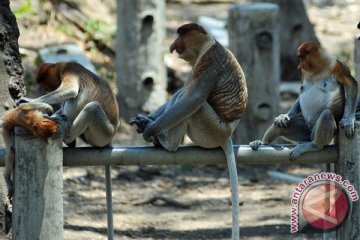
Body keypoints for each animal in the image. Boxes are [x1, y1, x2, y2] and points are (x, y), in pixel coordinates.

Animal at [130, 23, 248, 240]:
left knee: (194, 104)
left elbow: (193, 98)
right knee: (182, 93)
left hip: (211, 129)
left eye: (181, 35)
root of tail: (228, 134)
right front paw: (145, 120)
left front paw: (150, 128)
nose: (172, 46)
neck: (208, 43)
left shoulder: (208, 62)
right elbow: (182, 92)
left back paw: (167, 143)